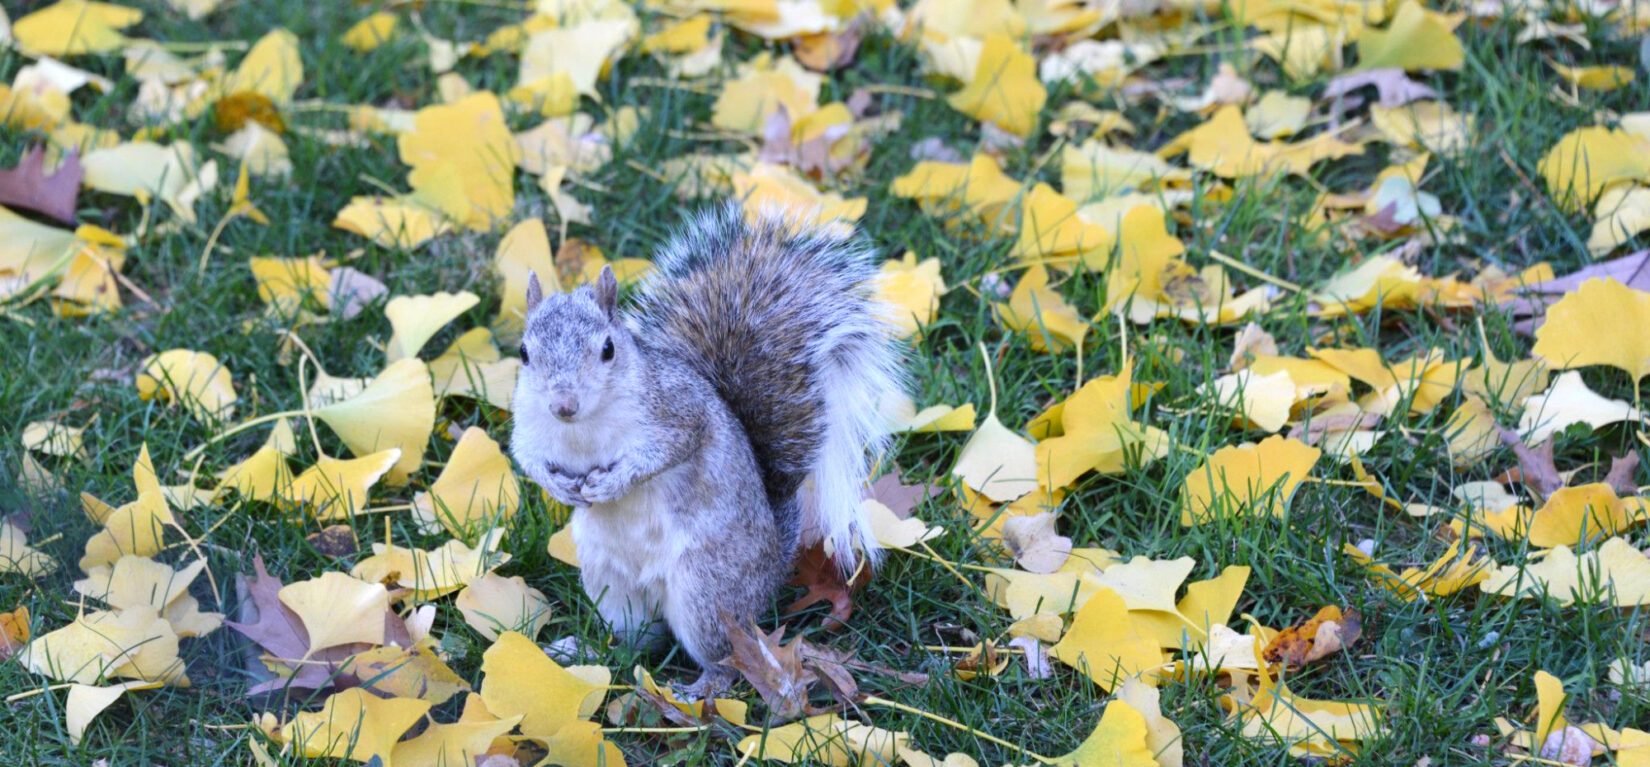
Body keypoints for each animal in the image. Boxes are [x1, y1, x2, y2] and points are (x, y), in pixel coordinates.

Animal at [511, 202, 904, 692]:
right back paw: (583, 651)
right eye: (524, 353)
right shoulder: (528, 426)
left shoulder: (679, 412)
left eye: (607, 349)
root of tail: (770, 571)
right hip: (613, 584)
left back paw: (700, 690)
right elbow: (526, 457)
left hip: (706, 590)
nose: (563, 405)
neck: (582, 429)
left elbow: (669, 450)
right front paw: (558, 487)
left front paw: (614, 484)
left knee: (727, 658)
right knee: (636, 642)